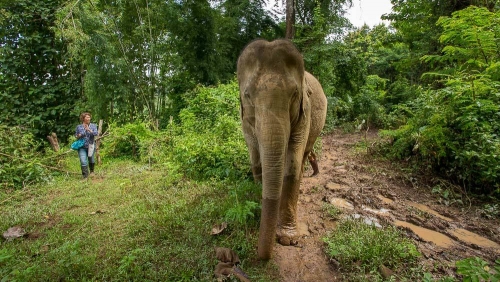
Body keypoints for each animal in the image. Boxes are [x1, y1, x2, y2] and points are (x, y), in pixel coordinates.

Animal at [237, 39, 328, 260]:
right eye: (248, 96)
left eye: (294, 94)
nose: (262, 257)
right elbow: (255, 156)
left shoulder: (306, 110)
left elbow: (292, 161)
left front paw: (287, 239)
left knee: (304, 155)